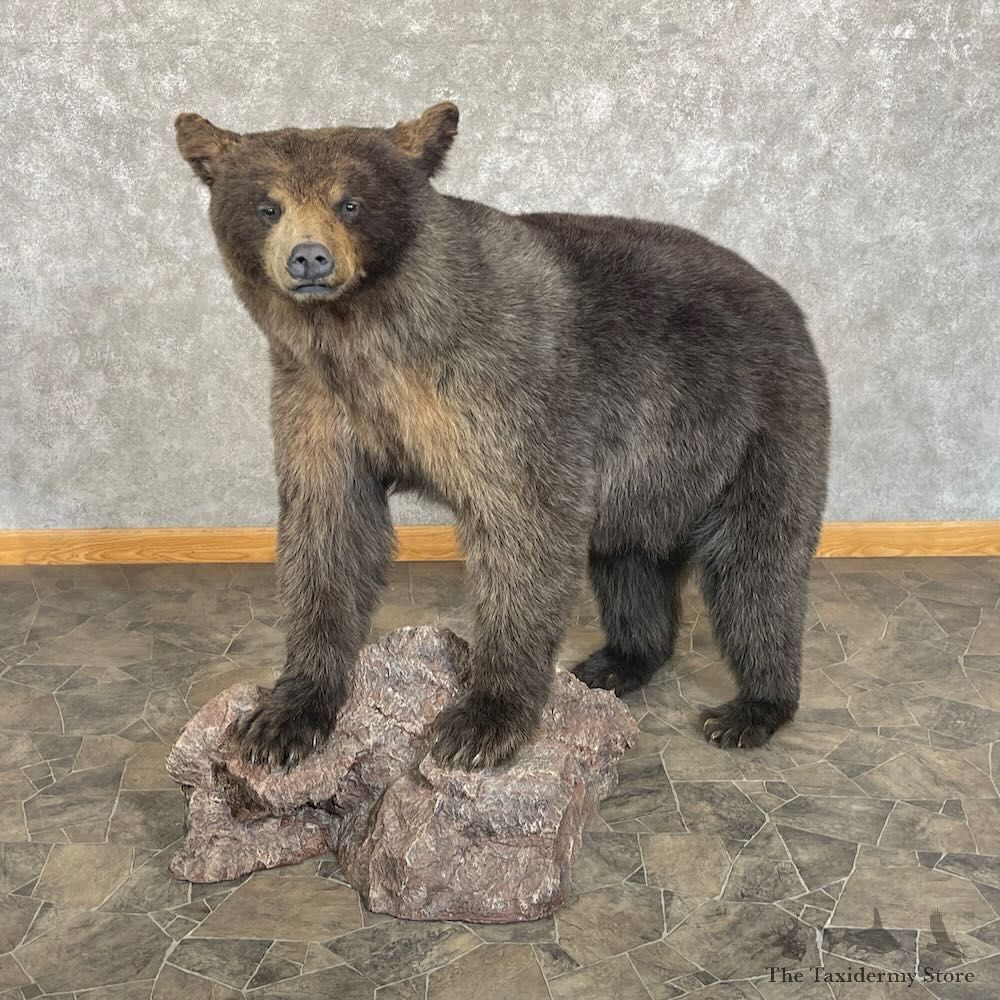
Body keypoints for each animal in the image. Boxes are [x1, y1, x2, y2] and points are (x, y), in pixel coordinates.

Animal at [175, 101, 830, 770]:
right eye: (269, 206)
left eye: (349, 203)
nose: (310, 259)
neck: (370, 341)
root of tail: (784, 297)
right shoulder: (318, 402)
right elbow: (328, 533)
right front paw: (283, 717)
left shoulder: (503, 388)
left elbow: (524, 529)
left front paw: (481, 721)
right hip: (652, 473)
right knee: (630, 560)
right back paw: (615, 662)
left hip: (758, 426)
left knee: (757, 568)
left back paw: (752, 707)